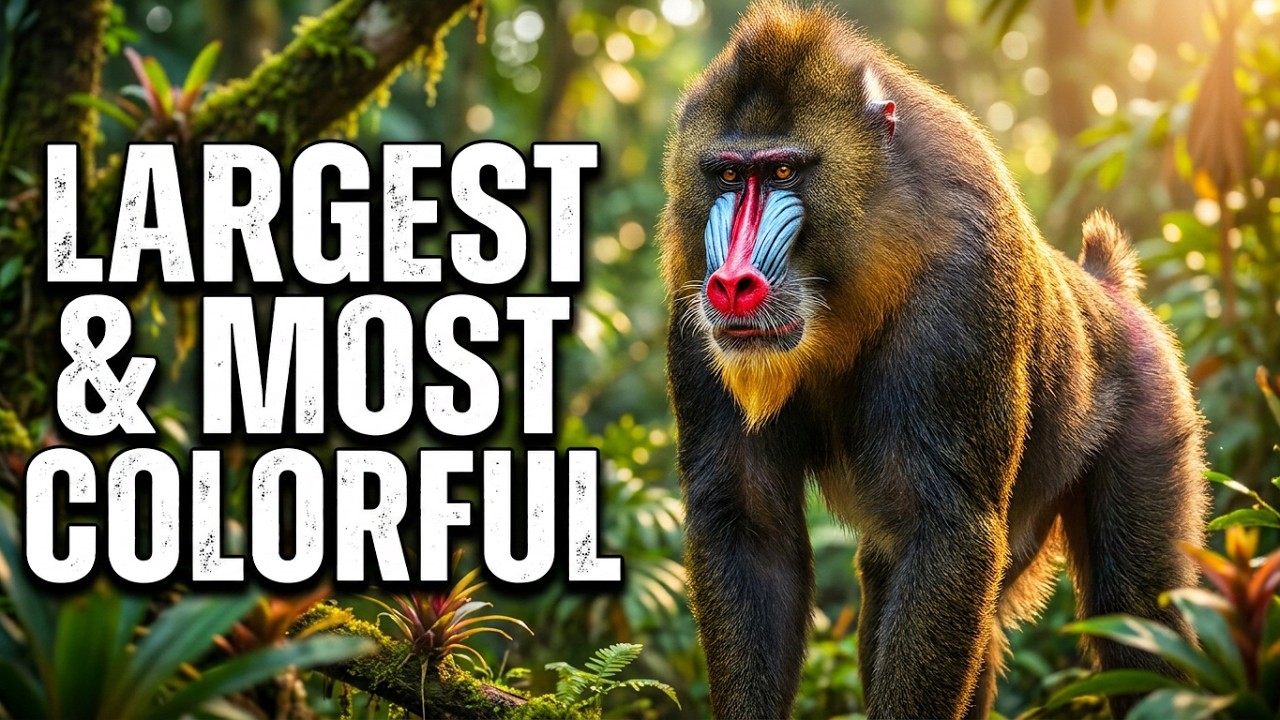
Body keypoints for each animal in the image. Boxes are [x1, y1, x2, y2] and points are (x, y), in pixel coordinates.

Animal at [657, 3, 1208, 719]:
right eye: (728, 175)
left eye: (781, 173)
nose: (731, 284)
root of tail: (1108, 291)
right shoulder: (692, 301)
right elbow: (748, 524)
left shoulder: (963, 285)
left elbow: (944, 529)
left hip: (1152, 423)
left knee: (1136, 614)